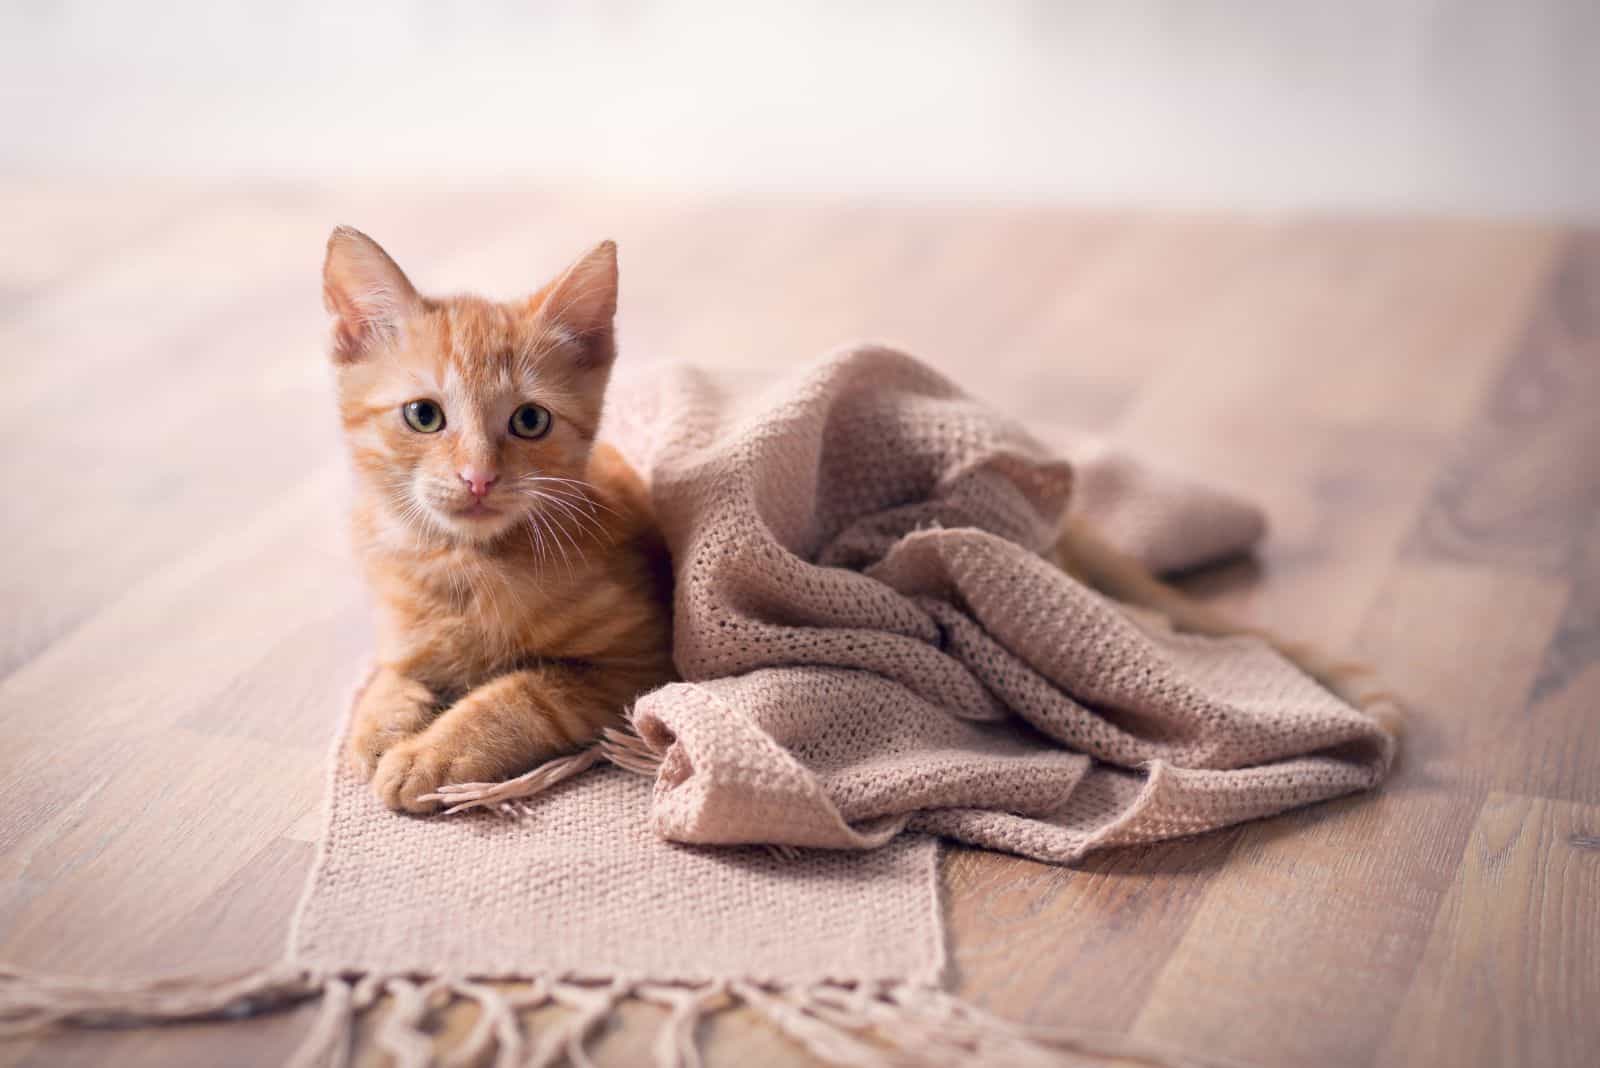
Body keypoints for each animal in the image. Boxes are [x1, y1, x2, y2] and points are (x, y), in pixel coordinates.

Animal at [324, 225, 675, 808]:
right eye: (423, 414)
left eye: (530, 420)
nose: (478, 477)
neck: (463, 563)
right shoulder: (401, 631)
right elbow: (393, 672)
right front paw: (379, 722)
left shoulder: (638, 662)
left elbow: (523, 693)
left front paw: (431, 754)